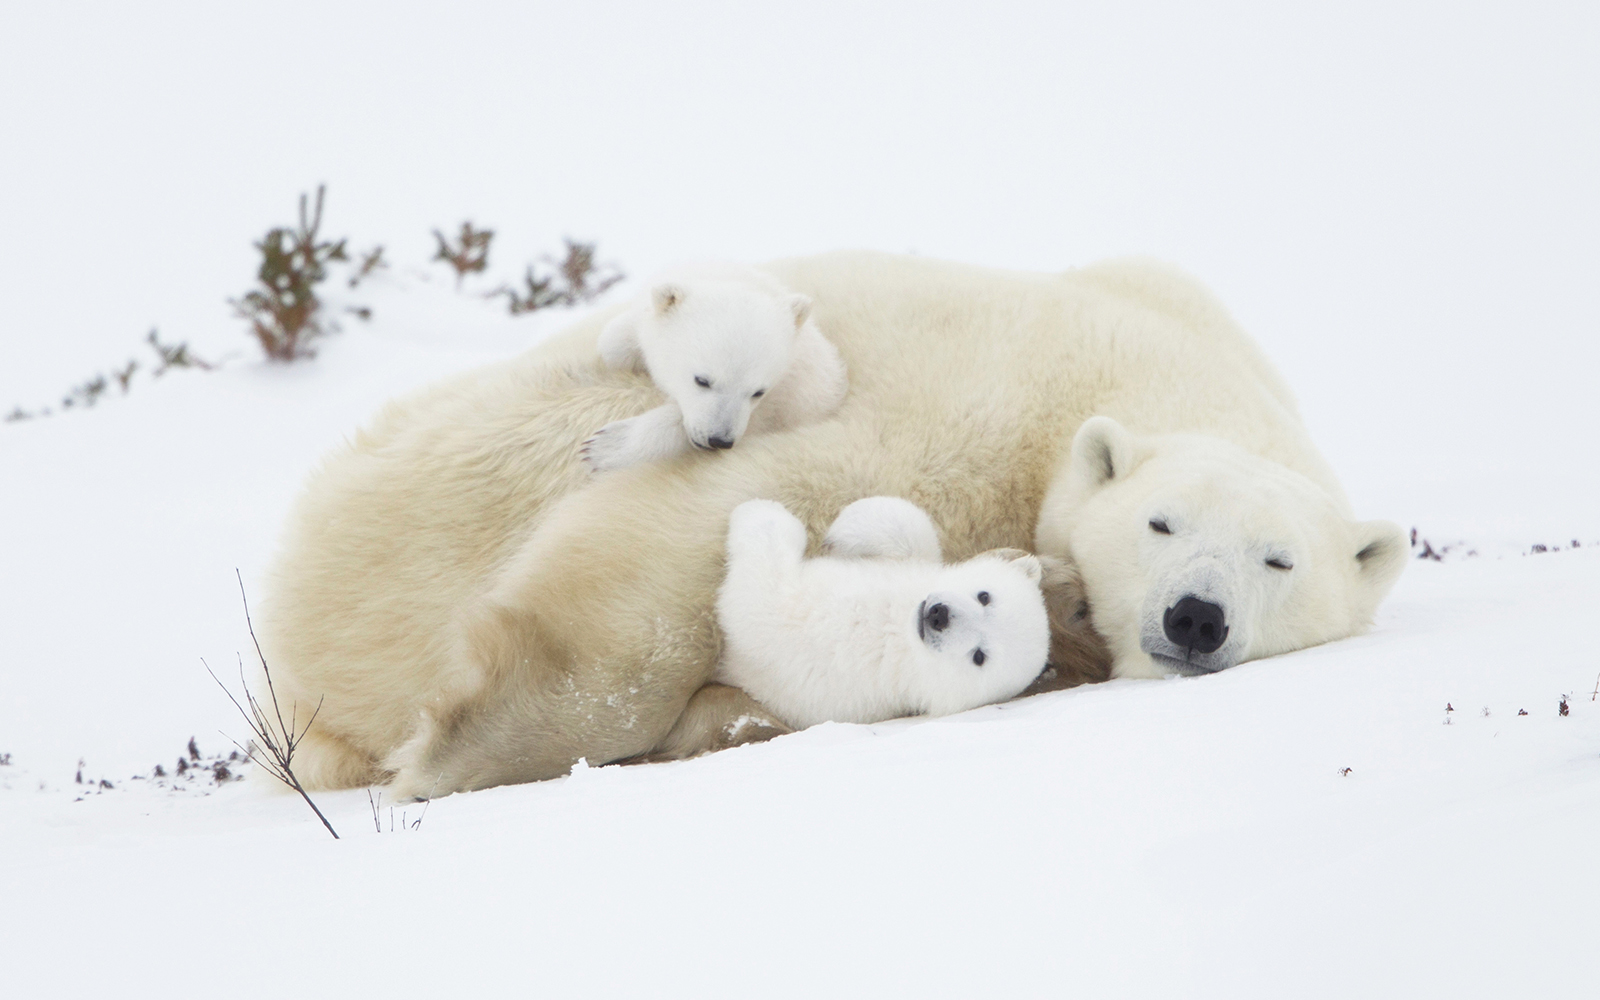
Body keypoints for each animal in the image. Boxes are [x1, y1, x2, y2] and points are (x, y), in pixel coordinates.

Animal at [580, 263, 848, 472]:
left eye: (758, 392)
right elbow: (613, 342)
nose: (719, 440)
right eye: (702, 380)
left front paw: (604, 446)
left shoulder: (797, 396)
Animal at [714, 497, 1051, 729]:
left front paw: (759, 511)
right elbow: (911, 530)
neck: (896, 625)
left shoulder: (824, 667)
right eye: (985, 597)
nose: (938, 615)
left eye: (979, 656)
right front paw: (844, 529)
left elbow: (756, 601)